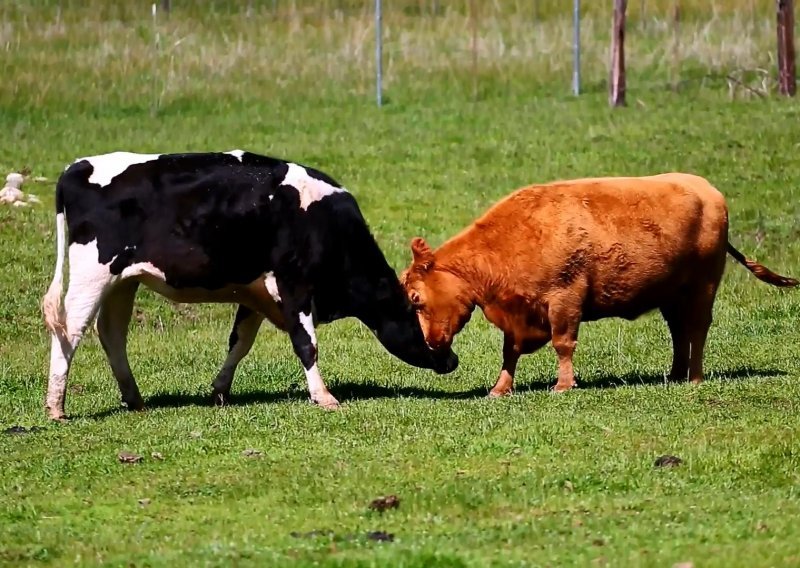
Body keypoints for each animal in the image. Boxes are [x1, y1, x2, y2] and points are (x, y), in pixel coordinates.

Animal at [42, 149, 456, 420]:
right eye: (418, 310)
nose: (451, 359)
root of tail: (77, 166)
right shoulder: (294, 286)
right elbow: (306, 344)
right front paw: (323, 396)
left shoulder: (256, 292)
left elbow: (239, 342)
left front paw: (220, 390)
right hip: (92, 274)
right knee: (70, 331)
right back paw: (56, 406)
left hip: (123, 281)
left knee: (112, 334)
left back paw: (134, 398)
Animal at [404, 173, 796, 394]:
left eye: (415, 297)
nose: (429, 342)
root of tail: (707, 189)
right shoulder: (517, 316)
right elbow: (509, 352)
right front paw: (500, 389)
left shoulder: (565, 300)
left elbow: (563, 343)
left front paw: (563, 386)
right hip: (671, 295)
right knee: (679, 332)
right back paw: (674, 374)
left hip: (703, 286)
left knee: (697, 329)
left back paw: (695, 378)